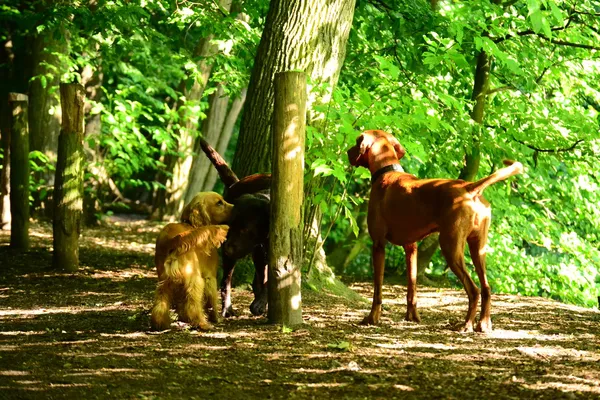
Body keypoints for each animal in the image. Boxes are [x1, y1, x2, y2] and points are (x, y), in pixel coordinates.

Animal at [151, 192, 233, 330]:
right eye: (219, 203)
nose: (235, 207)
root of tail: (172, 239)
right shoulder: (210, 277)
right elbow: (212, 300)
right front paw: (216, 318)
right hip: (194, 277)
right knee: (193, 304)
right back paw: (202, 323)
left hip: (164, 280)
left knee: (160, 301)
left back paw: (161, 324)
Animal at [346, 130, 520, 332]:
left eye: (356, 141)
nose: (348, 152)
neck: (387, 171)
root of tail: (469, 188)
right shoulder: (411, 247)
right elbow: (412, 288)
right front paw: (412, 317)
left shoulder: (378, 245)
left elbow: (377, 290)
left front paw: (372, 318)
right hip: (478, 248)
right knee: (486, 288)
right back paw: (484, 324)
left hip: (450, 247)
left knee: (474, 290)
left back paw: (466, 324)